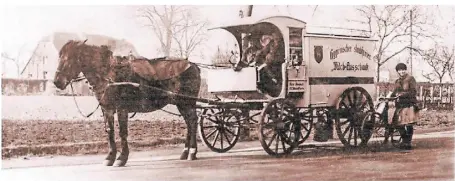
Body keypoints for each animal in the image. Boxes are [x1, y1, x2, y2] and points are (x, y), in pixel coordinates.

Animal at [53, 39, 201, 167]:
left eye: (68, 58)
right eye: (59, 57)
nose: (57, 82)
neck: (109, 74)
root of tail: (193, 65)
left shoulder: (121, 108)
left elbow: (122, 132)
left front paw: (121, 158)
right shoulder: (107, 109)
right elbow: (110, 132)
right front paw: (110, 157)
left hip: (187, 102)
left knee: (193, 122)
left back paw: (192, 152)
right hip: (180, 103)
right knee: (189, 123)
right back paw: (185, 152)